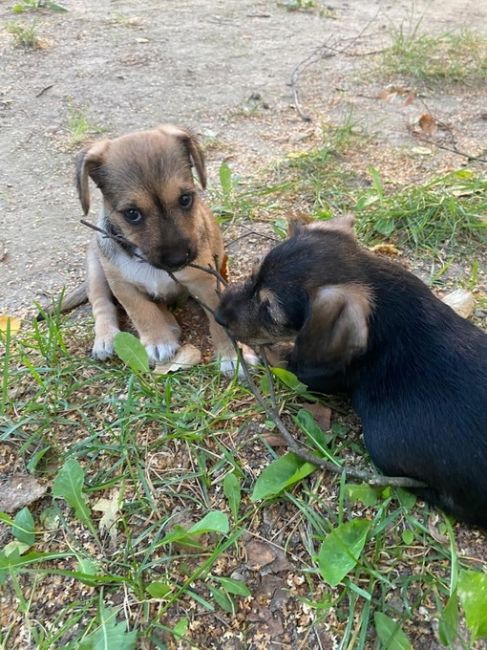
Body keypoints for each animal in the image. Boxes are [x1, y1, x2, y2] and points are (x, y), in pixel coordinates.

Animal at [71, 123, 244, 372]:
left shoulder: (205, 283)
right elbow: (142, 312)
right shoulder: (122, 286)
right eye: (132, 214)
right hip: (96, 268)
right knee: (101, 304)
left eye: (185, 199)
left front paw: (233, 356)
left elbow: (219, 322)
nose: (178, 260)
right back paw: (106, 337)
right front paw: (157, 340)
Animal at [216, 218, 487, 528]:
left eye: (269, 311)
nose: (218, 315)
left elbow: (280, 355)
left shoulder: (309, 371)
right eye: (252, 276)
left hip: (383, 443)